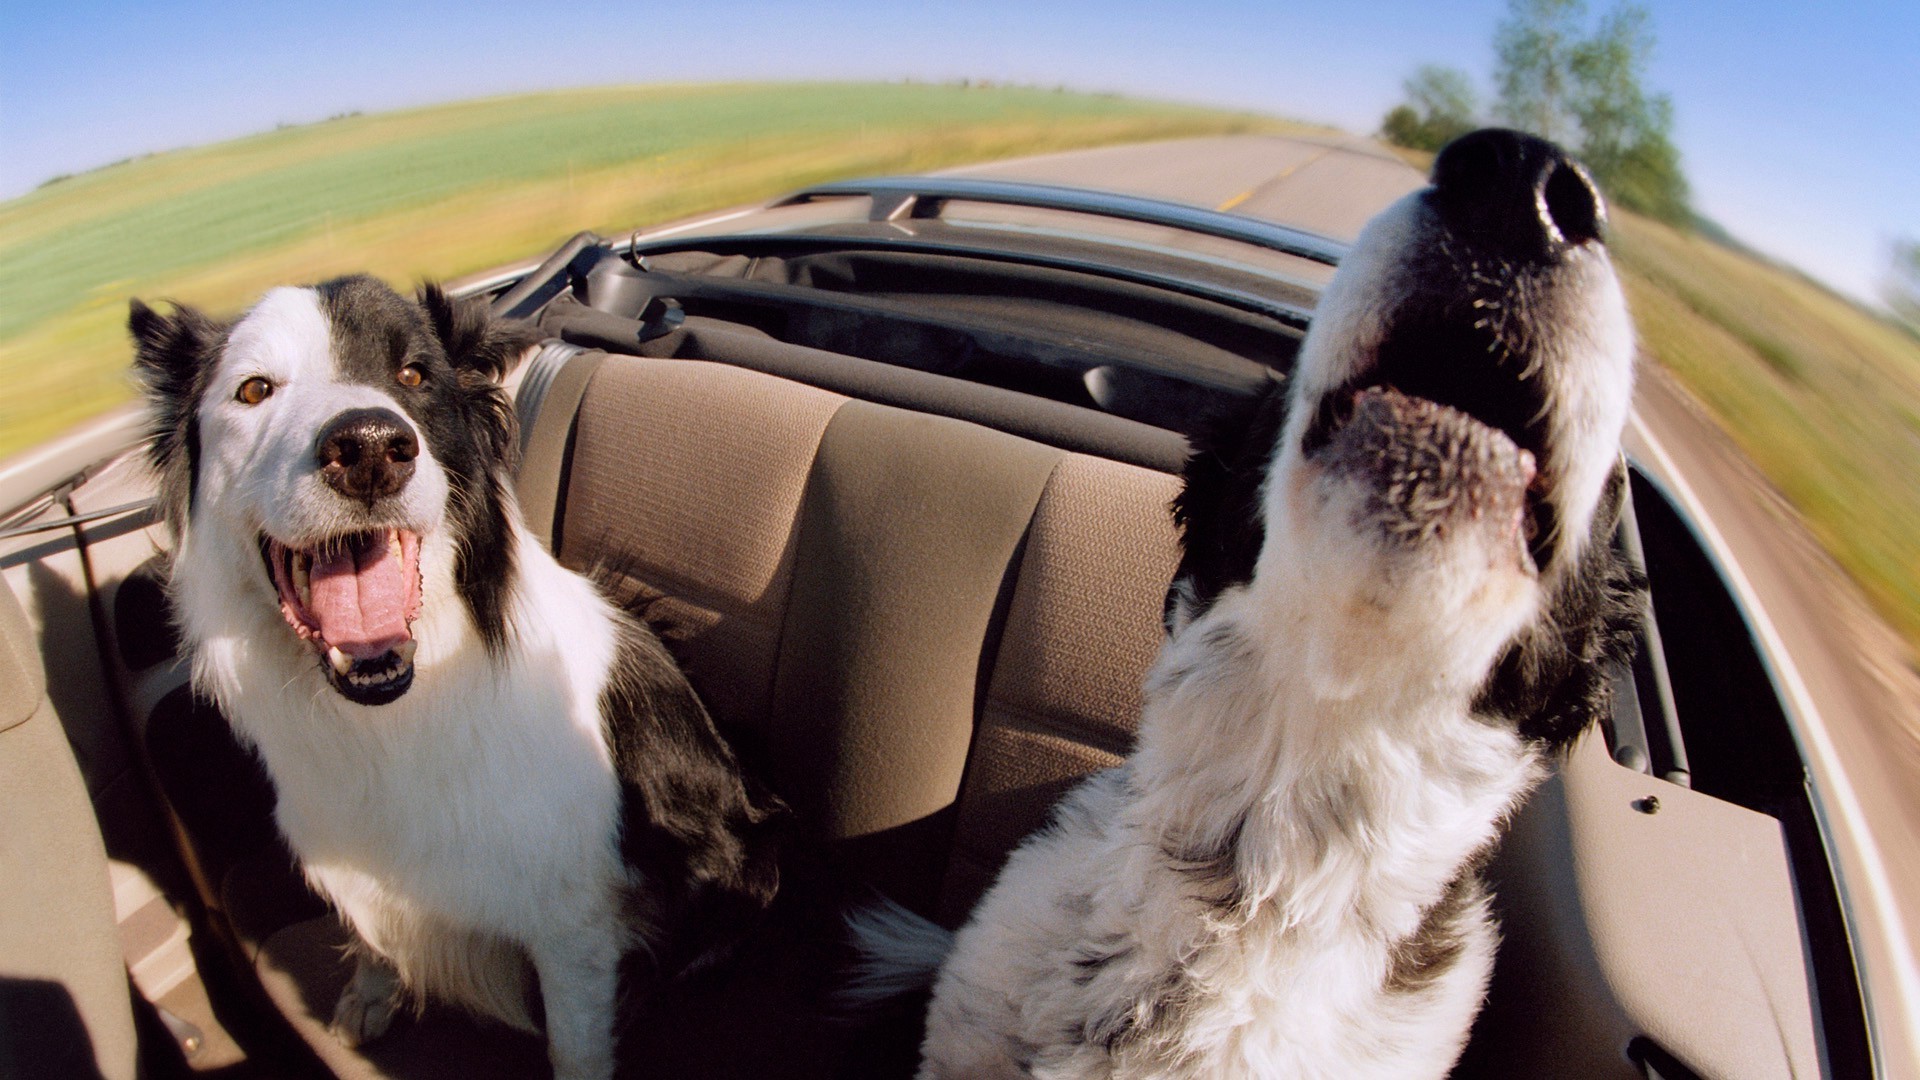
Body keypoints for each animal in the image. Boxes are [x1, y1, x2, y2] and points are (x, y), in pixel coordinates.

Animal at [129, 274, 779, 1076]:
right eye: (255, 390)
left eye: (414, 376)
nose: (369, 449)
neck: (392, 715)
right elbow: (373, 936)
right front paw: (369, 996)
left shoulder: (575, 929)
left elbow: (575, 1045)